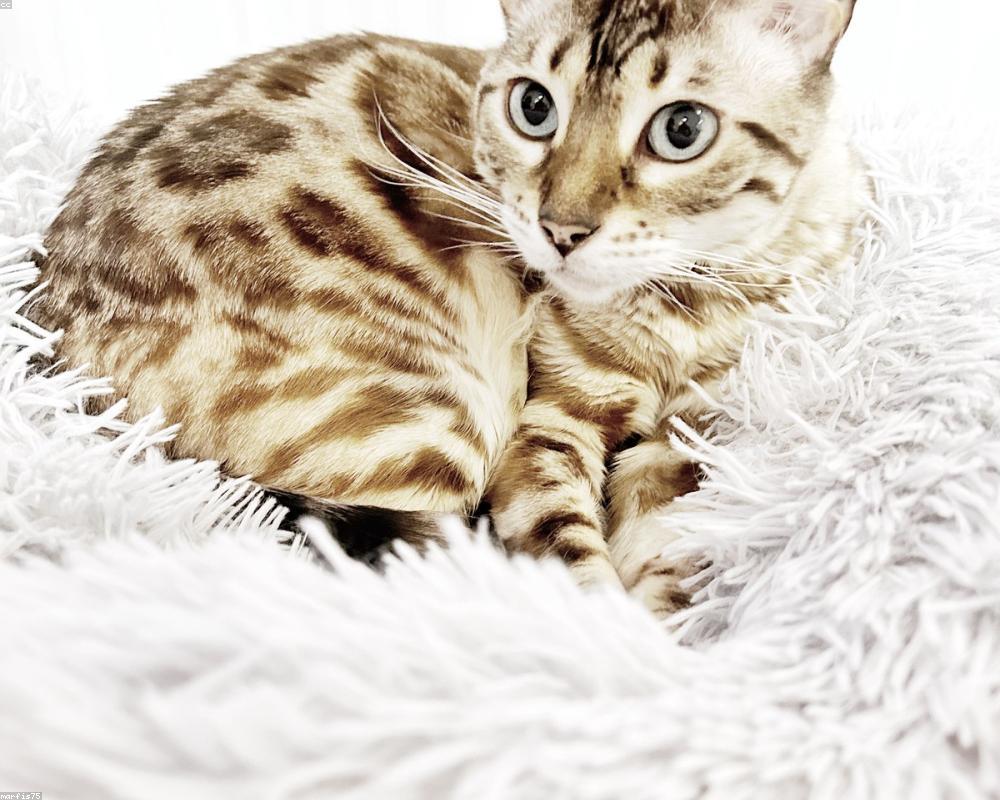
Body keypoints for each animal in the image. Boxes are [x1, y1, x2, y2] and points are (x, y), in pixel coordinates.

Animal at [31, 0, 866, 617]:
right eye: (535, 108)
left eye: (682, 129)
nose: (561, 231)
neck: (688, 306)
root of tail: (50, 366)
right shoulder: (548, 428)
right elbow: (576, 569)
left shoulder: (692, 440)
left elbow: (672, 559)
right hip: (440, 417)